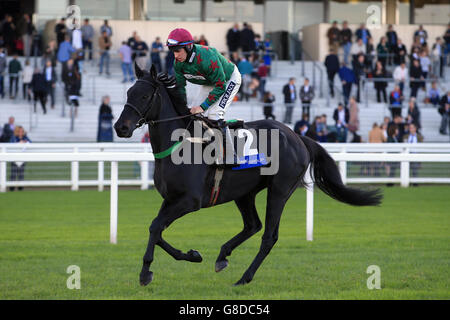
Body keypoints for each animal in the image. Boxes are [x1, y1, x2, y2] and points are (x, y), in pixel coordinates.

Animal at [114, 63, 382, 286]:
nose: (120, 127)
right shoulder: (170, 199)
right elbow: (156, 228)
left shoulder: (190, 201)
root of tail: (297, 136)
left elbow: (156, 227)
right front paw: (192, 255)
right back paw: (222, 255)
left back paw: (244, 277)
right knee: (253, 225)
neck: (180, 144)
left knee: (268, 236)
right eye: (128, 94)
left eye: (145, 95)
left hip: (279, 191)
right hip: (244, 193)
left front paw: (145, 273)